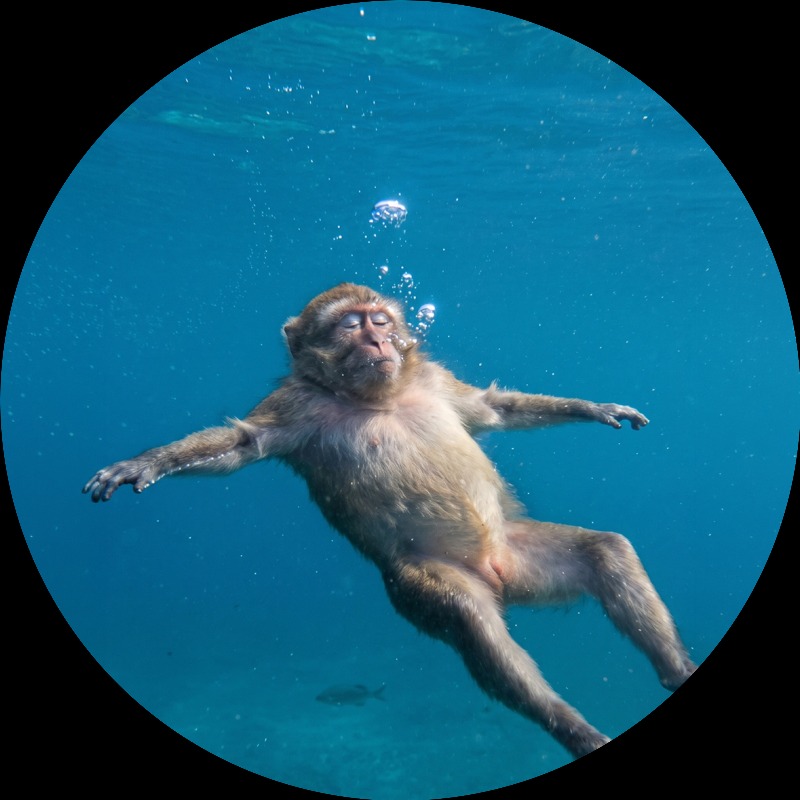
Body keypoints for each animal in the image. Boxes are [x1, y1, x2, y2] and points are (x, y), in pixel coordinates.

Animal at [83, 282, 696, 759]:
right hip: (418, 582)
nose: (378, 340)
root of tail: (498, 573)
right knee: (471, 619)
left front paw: (597, 409)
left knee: (607, 550)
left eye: (379, 320)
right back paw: (572, 728)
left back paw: (674, 672)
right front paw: (145, 463)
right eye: (350, 325)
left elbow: (492, 409)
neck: (377, 398)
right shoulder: (294, 407)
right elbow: (241, 445)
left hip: (519, 555)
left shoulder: (435, 380)